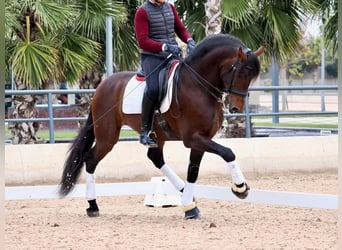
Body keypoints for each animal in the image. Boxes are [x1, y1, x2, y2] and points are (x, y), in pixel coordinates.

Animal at [58, 33, 264, 219]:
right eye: (241, 72)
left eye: (252, 76)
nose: (236, 107)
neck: (198, 85)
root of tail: (101, 86)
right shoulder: (193, 138)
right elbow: (228, 152)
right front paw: (240, 188)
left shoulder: (201, 139)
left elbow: (193, 171)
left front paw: (189, 206)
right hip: (107, 136)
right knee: (91, 160)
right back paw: (92, 205)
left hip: (157, 135)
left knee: (155, 158)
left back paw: (183, 192)